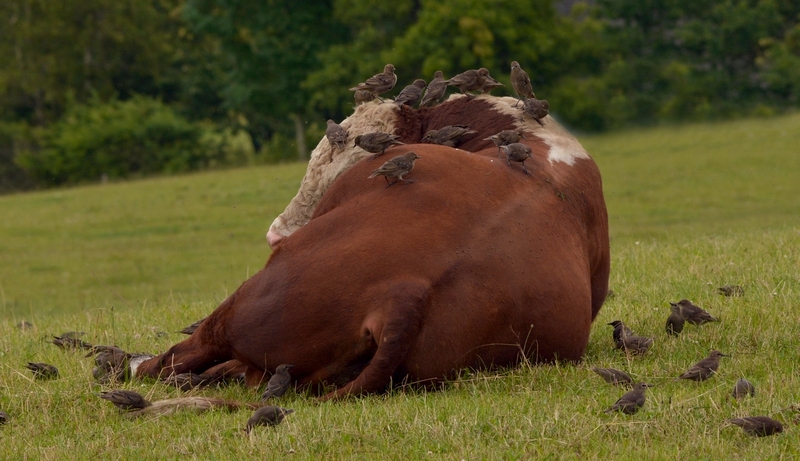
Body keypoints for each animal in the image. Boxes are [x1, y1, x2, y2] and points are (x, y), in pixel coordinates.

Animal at [117, 94, 608, 398]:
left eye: (337, 163)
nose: (276, 235)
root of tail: (406, 294)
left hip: (242, 303)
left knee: (177, 358)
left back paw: (137, 363)